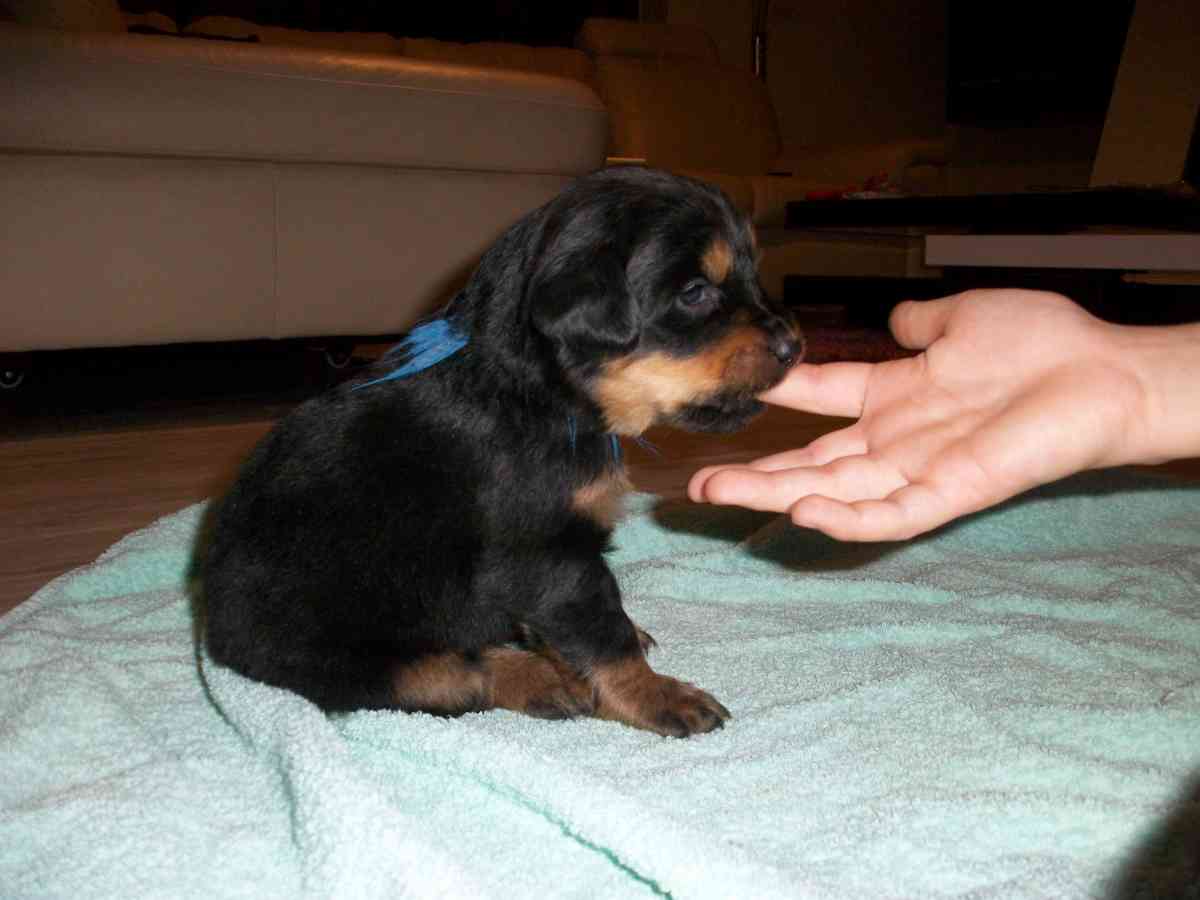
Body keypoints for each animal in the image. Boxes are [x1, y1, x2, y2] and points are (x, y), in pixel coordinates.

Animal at [200, 167, 802, 737]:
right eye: (695, 292)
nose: (794, 345)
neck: (541, 395)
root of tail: (212, 625)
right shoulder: (546, 549)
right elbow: (601, 631)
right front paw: (659, 695)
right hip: (332, 646)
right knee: (445, 673)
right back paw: (537, 680)